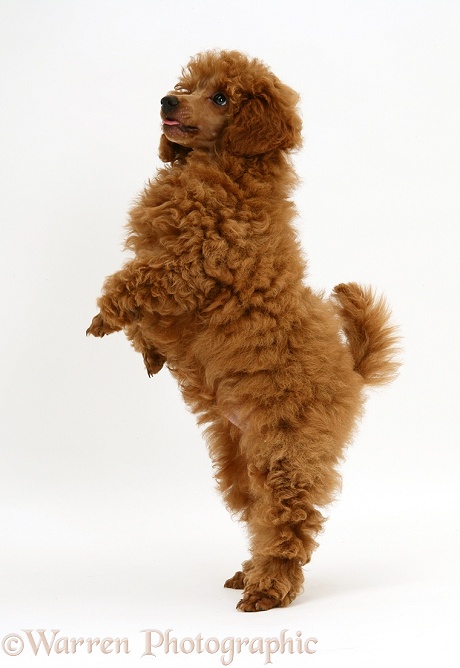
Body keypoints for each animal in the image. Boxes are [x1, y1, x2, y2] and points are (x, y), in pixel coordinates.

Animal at [87, 48, 398, 612]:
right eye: (185, 86)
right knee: (260, 517)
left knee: (291, 521)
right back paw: (250, 572)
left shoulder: (191, 263)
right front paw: (148, 354)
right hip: (238, 461)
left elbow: (133, 281)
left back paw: (269, 589)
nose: (166, 101)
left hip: (288, 454)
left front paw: (103, 318)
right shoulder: (171, 272)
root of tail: (352, 371)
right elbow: (145, 312)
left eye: (221, 98)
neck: (221, 169)